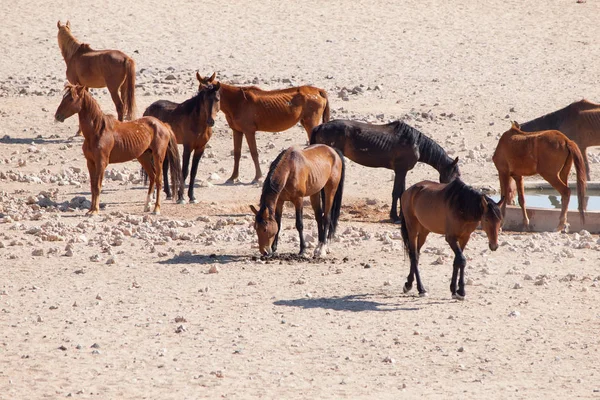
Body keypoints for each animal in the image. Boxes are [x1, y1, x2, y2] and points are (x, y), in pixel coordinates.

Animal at [54, 83, 182, 216]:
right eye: (64, 97)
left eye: (71, 99)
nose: (57, 116)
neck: (97, 131)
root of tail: (163, 125)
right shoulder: (90, 162)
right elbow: (93, 186)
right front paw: (90, 210)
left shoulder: (101, 163)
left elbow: (97, 186)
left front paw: (95, 210)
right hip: (144, 157)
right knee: (152, 177)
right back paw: (147, 206)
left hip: (158, 157)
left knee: (158, 179)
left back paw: (156, 209)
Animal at [197, 72, 330, 183]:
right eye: (200, 95)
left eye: (217, 98)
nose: (210, 121)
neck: (237, 102)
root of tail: (318, 90)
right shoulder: (237, 131)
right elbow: (237, 153)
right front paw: (233, 177)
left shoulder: (249, 131)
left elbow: (254, 153)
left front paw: (258, 177)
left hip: (311, 124)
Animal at [310, 120, 460, 223]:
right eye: (455, 176)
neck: (416, 144)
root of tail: (320, 127)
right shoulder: (400, 170)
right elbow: (396, 192)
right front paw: (395, 217)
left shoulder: (402, 171)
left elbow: (402, 192)